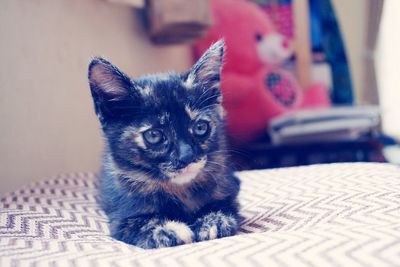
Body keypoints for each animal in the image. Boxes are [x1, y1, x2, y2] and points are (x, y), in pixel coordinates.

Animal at [88, 40, 238, 250]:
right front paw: (168, 229)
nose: (187, 157)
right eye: (154, 135)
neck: (178, 189)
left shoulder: (226, 188)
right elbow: (138, 222)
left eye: (200, 127)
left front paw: (213, 221)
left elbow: (224, 205)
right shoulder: (120, 215)